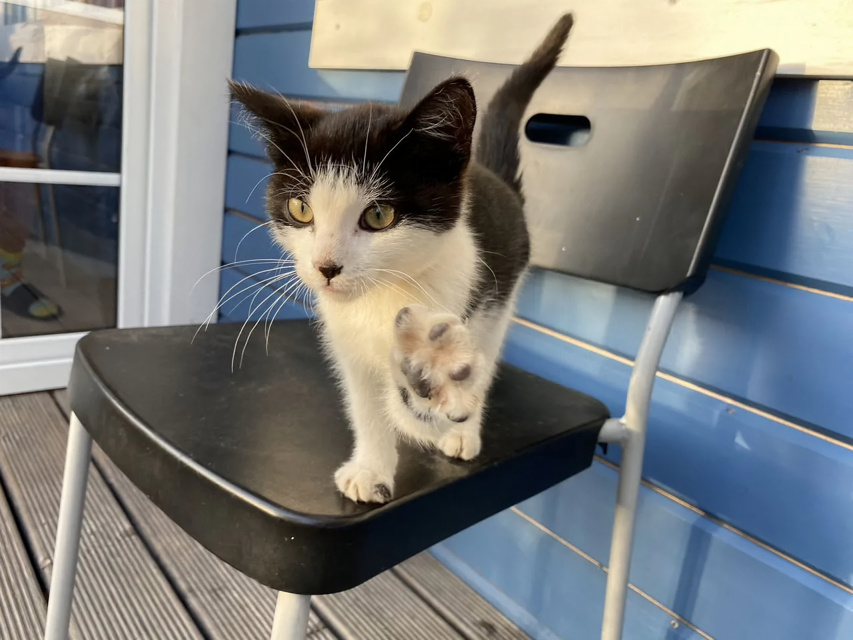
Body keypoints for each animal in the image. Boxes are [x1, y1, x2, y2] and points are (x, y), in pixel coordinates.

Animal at [230, 13, 574, 504]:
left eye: (378, 215)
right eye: (301, 209)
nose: (326, 267)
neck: (382, 296)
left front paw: (435, 411)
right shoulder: (347, 344)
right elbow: (367, 405)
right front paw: (371, 468)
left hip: (498, 301)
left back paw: (462, 431)